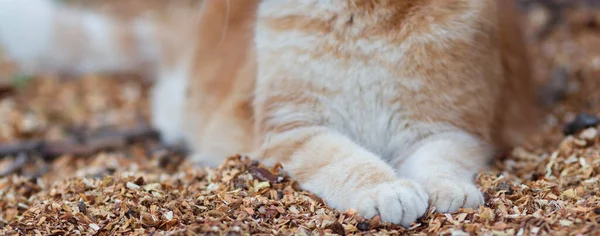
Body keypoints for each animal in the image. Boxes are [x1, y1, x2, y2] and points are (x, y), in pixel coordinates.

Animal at [0, 0, 540, 227]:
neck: (364, 15)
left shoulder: (453, 126)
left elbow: (441, 159)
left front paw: (447, 190)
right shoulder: (294, 129)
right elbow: (346, 160)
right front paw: (386, 189)